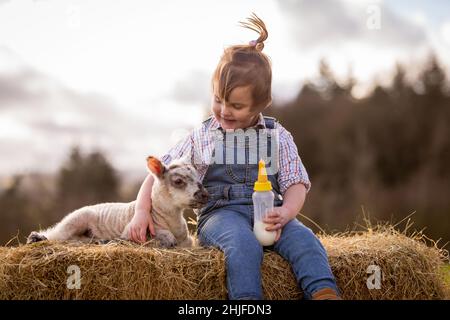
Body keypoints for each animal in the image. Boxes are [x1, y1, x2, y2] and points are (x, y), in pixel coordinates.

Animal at [27, 156, 210, 249]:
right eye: (178, 181)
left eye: (199, 178)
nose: (205, 195)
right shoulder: (132, 231)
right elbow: (163, 238)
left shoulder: (189, 242)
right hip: (76, 219)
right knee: (58, 235)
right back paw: (37, 238)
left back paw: (100, 241)